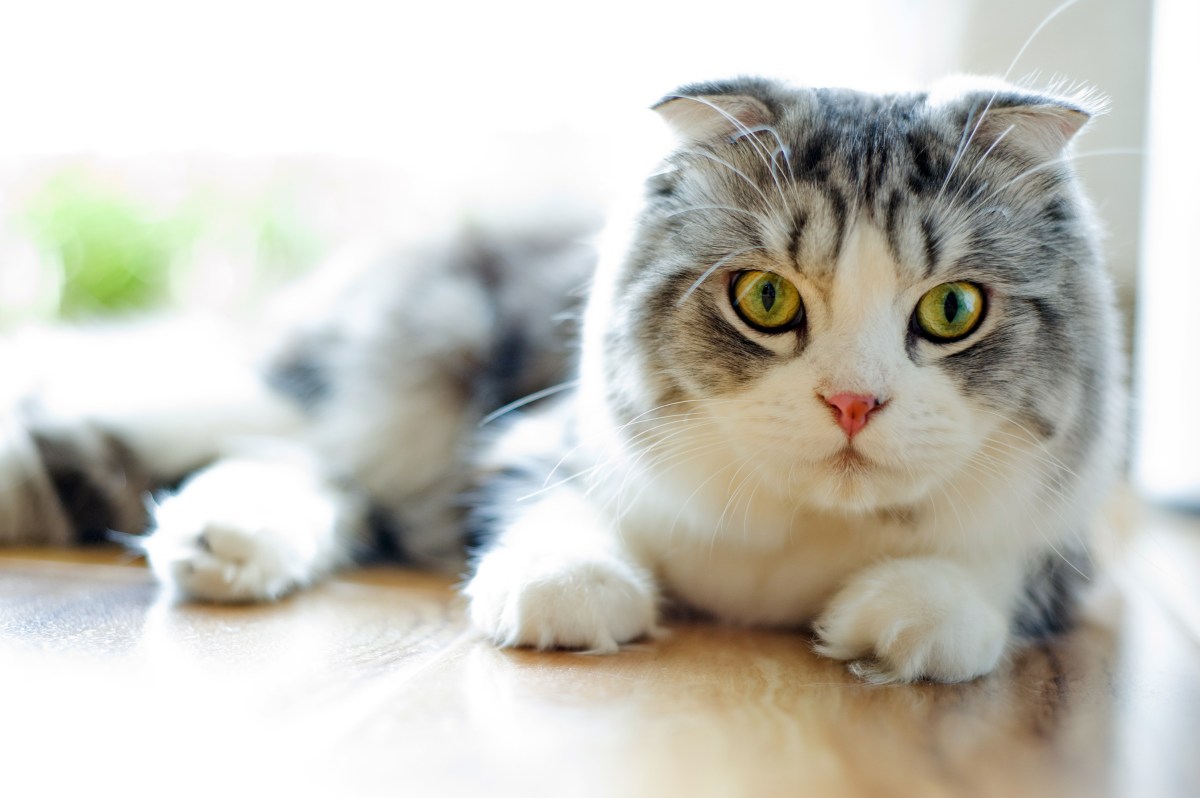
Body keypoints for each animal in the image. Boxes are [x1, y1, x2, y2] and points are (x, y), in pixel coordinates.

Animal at [2, 74, 1123, 681]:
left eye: (952, 312)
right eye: (766, 300)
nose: (852, 402)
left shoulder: (1062, 545)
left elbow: (991, 570)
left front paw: (910, 620)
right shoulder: (537, 436)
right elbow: (553, 514)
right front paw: (572, 596)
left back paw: (223, 546)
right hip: (383, 375)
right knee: (269, 442)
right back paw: (216, 539)